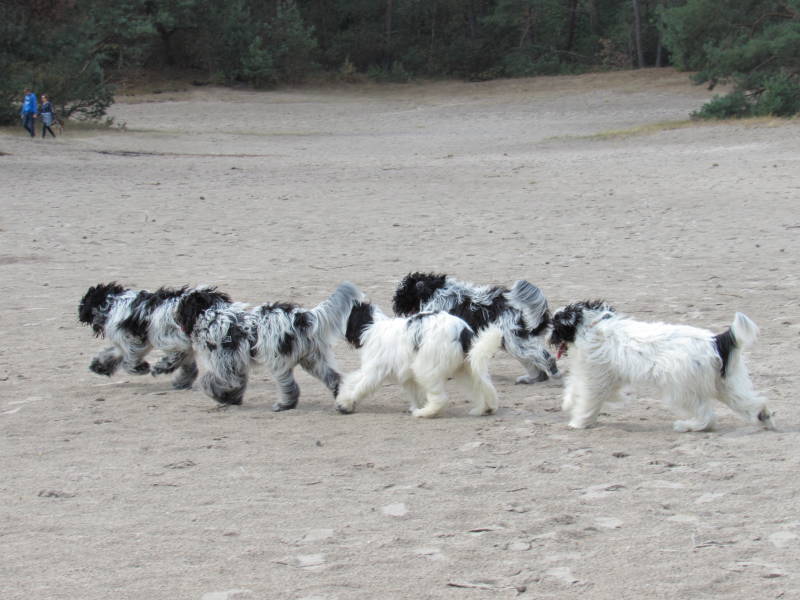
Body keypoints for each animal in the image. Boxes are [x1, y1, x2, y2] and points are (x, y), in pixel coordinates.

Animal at [78, 282, 231, 389]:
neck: (113, 303)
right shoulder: (123, 342)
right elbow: (113, 353)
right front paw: (99, 366)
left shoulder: (133, 340)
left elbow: (129, 359)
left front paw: (140, 368)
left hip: (169, 338)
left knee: (178, 355)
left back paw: (162, 367)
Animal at [176, 282, 361, 410]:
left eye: (183, 306)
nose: (175, 316)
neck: (213, 315)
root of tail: (302, 317)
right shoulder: (237, 366)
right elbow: (238, 384)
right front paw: (232, 399)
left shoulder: (225, 366)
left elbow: (208, 381)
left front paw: (220, 396)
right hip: (313, 360)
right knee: (334, 378)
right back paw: (341, 398)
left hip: (279, 362)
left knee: (290, 387)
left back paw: (284, 405)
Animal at [335, 300, 503, 418]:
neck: (371, 327)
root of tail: (463, 332)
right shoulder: (406, 376)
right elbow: (353, 380)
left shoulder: (374, 372)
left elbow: (360, 387)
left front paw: (346, 403)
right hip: (466, 367)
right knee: (481, 385)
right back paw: (484, 408)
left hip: (427, 368)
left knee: (440, 398)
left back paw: (425, 413)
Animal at [392, 272, 559, 384]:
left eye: (403, 294)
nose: (395, 306)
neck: (434, 291)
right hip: (515, 340)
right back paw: (534, 378)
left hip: (514, 341)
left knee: (543, 356)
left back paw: (551, 372)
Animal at [549, 300, 775, 432]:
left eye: (556, 325)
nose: (548, 337)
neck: (593, 325)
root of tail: (715, 341)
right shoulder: (604, 373)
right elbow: (577, 386)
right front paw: (568, 403)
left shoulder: (597, 375)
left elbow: (588, 398)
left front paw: (579, 421)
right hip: (727, 384)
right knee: (749, 403)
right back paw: (763, 417)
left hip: (681, 389)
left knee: (707, 416)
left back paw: (687, 426)